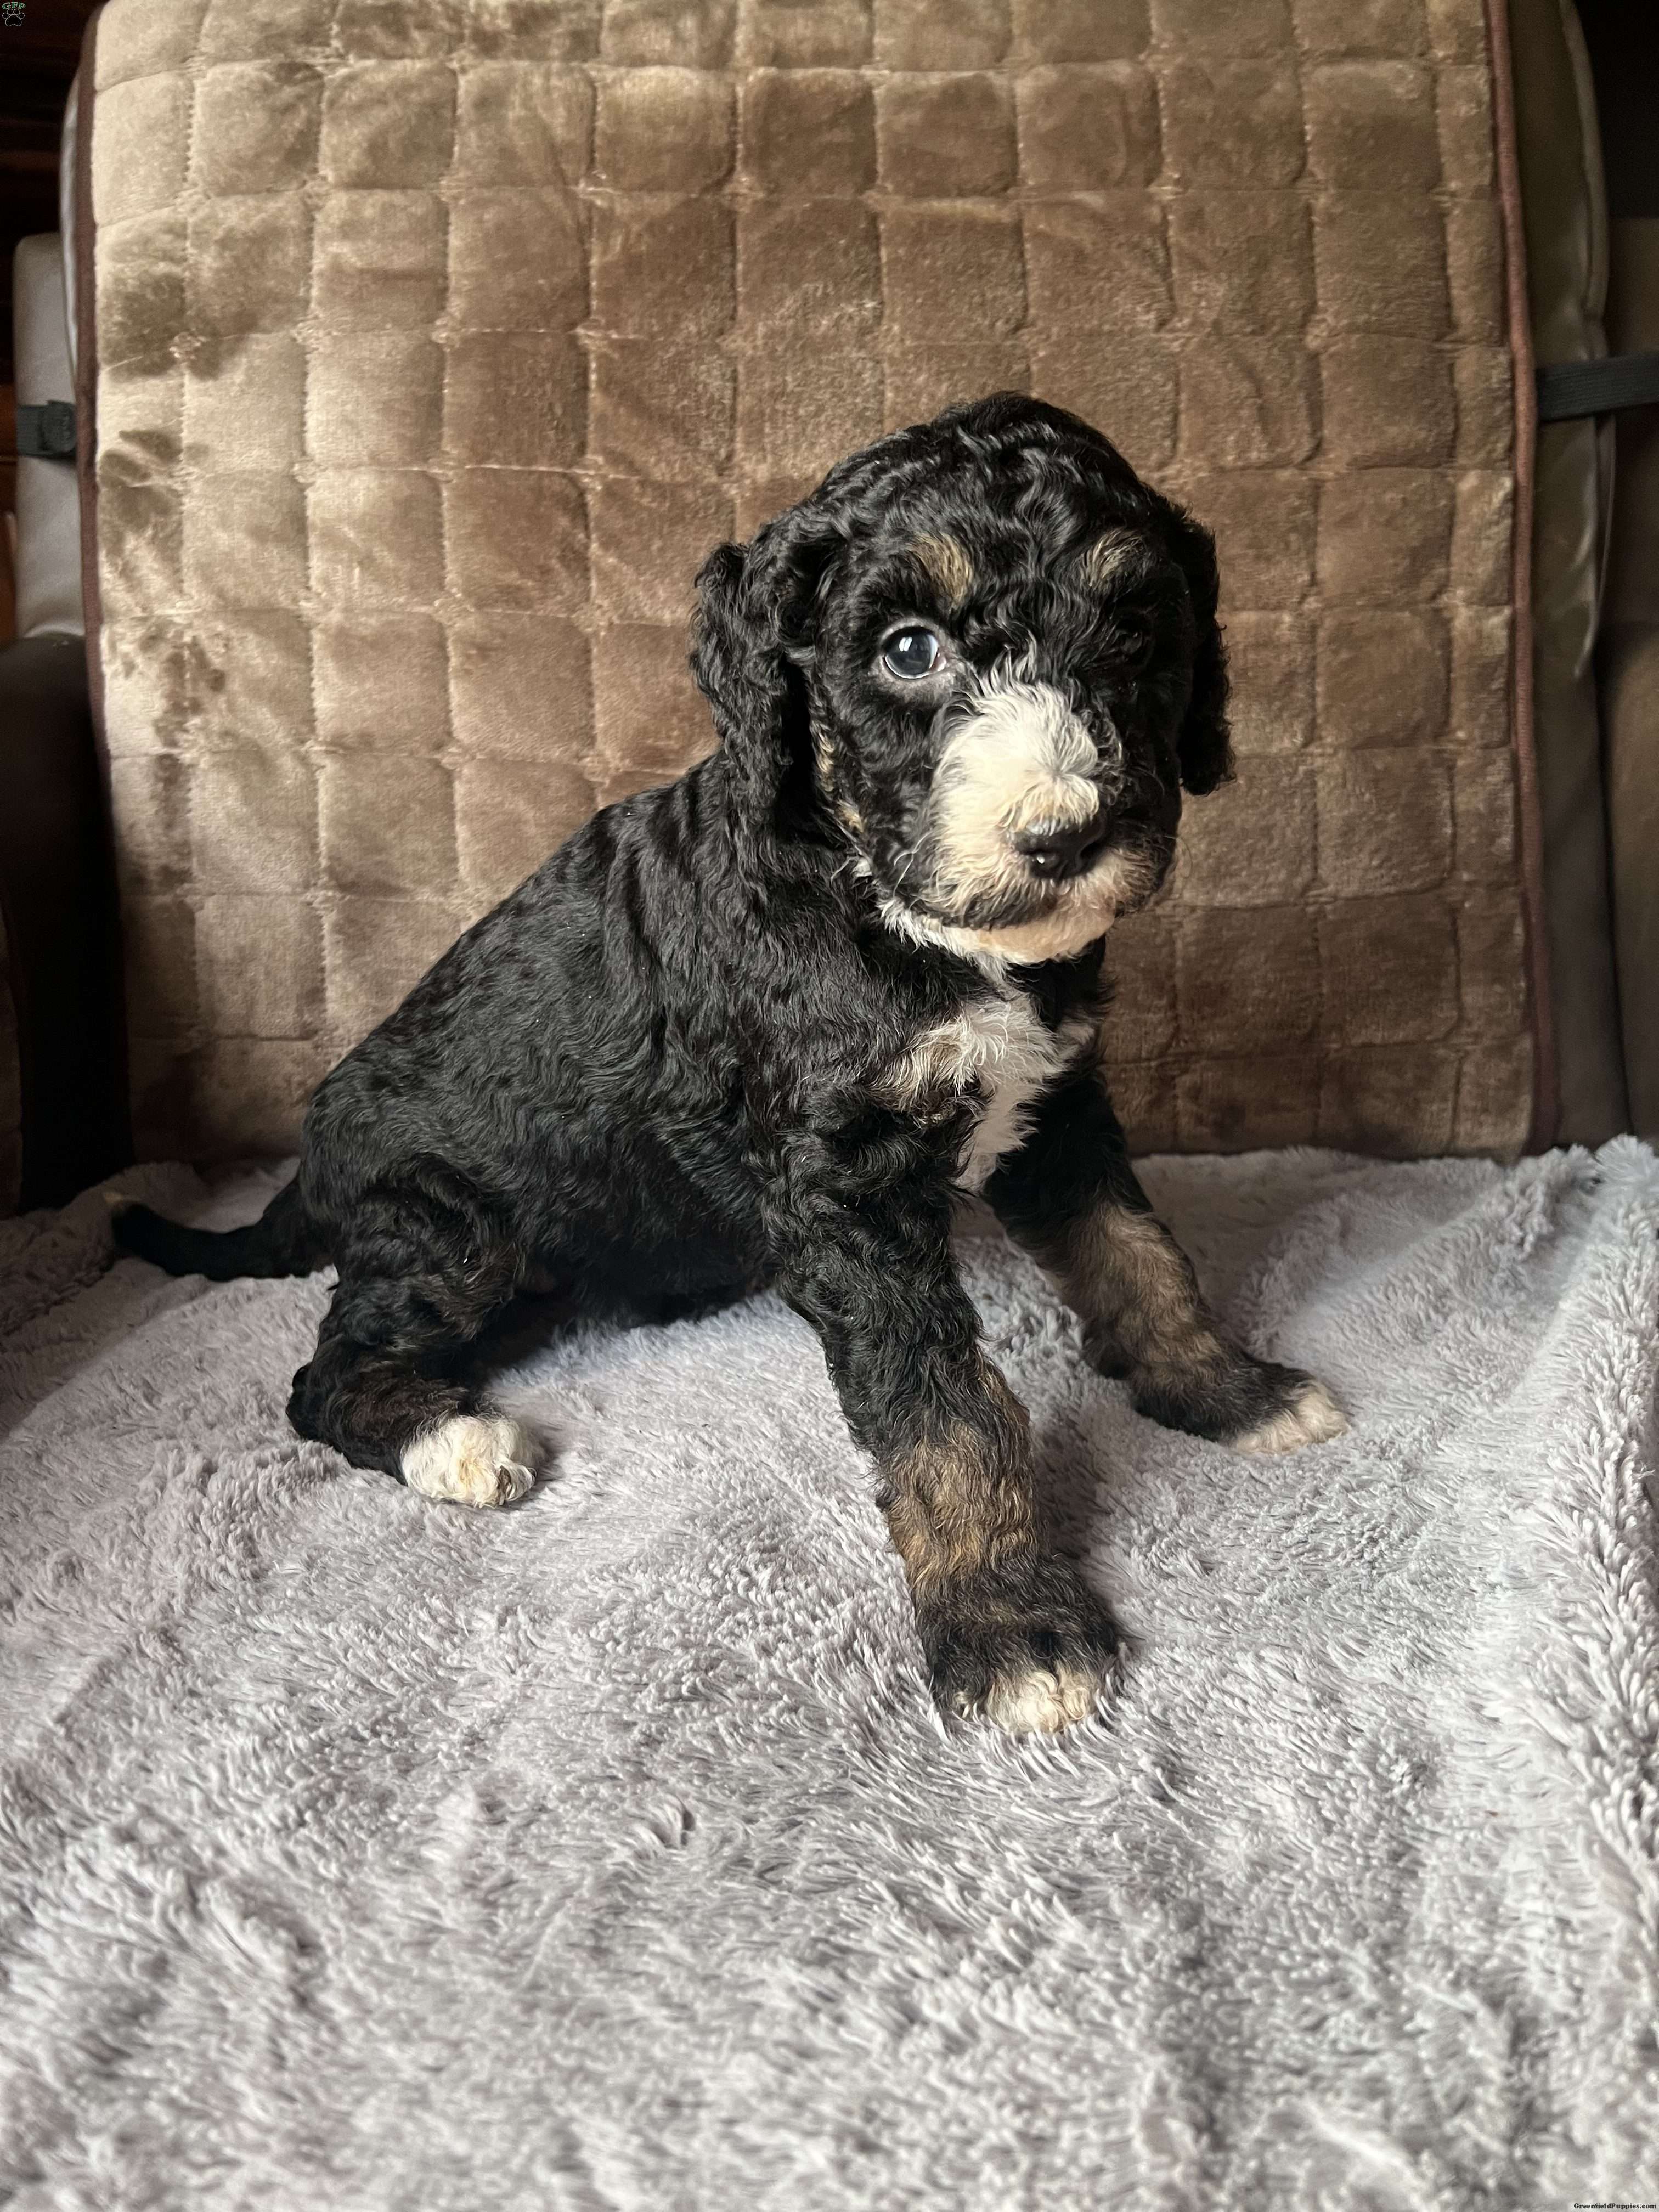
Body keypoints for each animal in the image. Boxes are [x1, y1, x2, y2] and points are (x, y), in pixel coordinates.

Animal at [116, 394, 1347, 1735]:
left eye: (1132, 627)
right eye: (909, 649)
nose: (1063, 836)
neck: (887, 911)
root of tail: (310, 1166)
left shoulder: (1056, 1102)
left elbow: (1140, 1257)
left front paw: (1227, 1390)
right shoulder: (846, 1191)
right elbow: (945, 1407)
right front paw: (1010, 1622)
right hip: (441, 1221)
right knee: (326, 1374)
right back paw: (456, 1443)